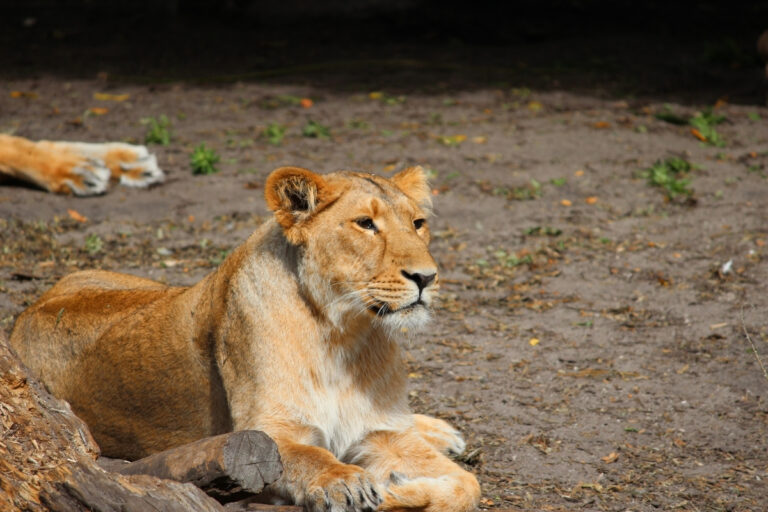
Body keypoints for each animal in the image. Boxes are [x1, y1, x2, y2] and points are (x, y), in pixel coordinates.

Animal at [9, 166, 480, 510]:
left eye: (418, 223)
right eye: (365, 224)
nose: (426, 277)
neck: (344, 334)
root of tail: (30, 308)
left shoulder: (380, 433)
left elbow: (467, 486)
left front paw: (397, 487)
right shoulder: (265, 433)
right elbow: (311, 456)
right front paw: (350, 483)